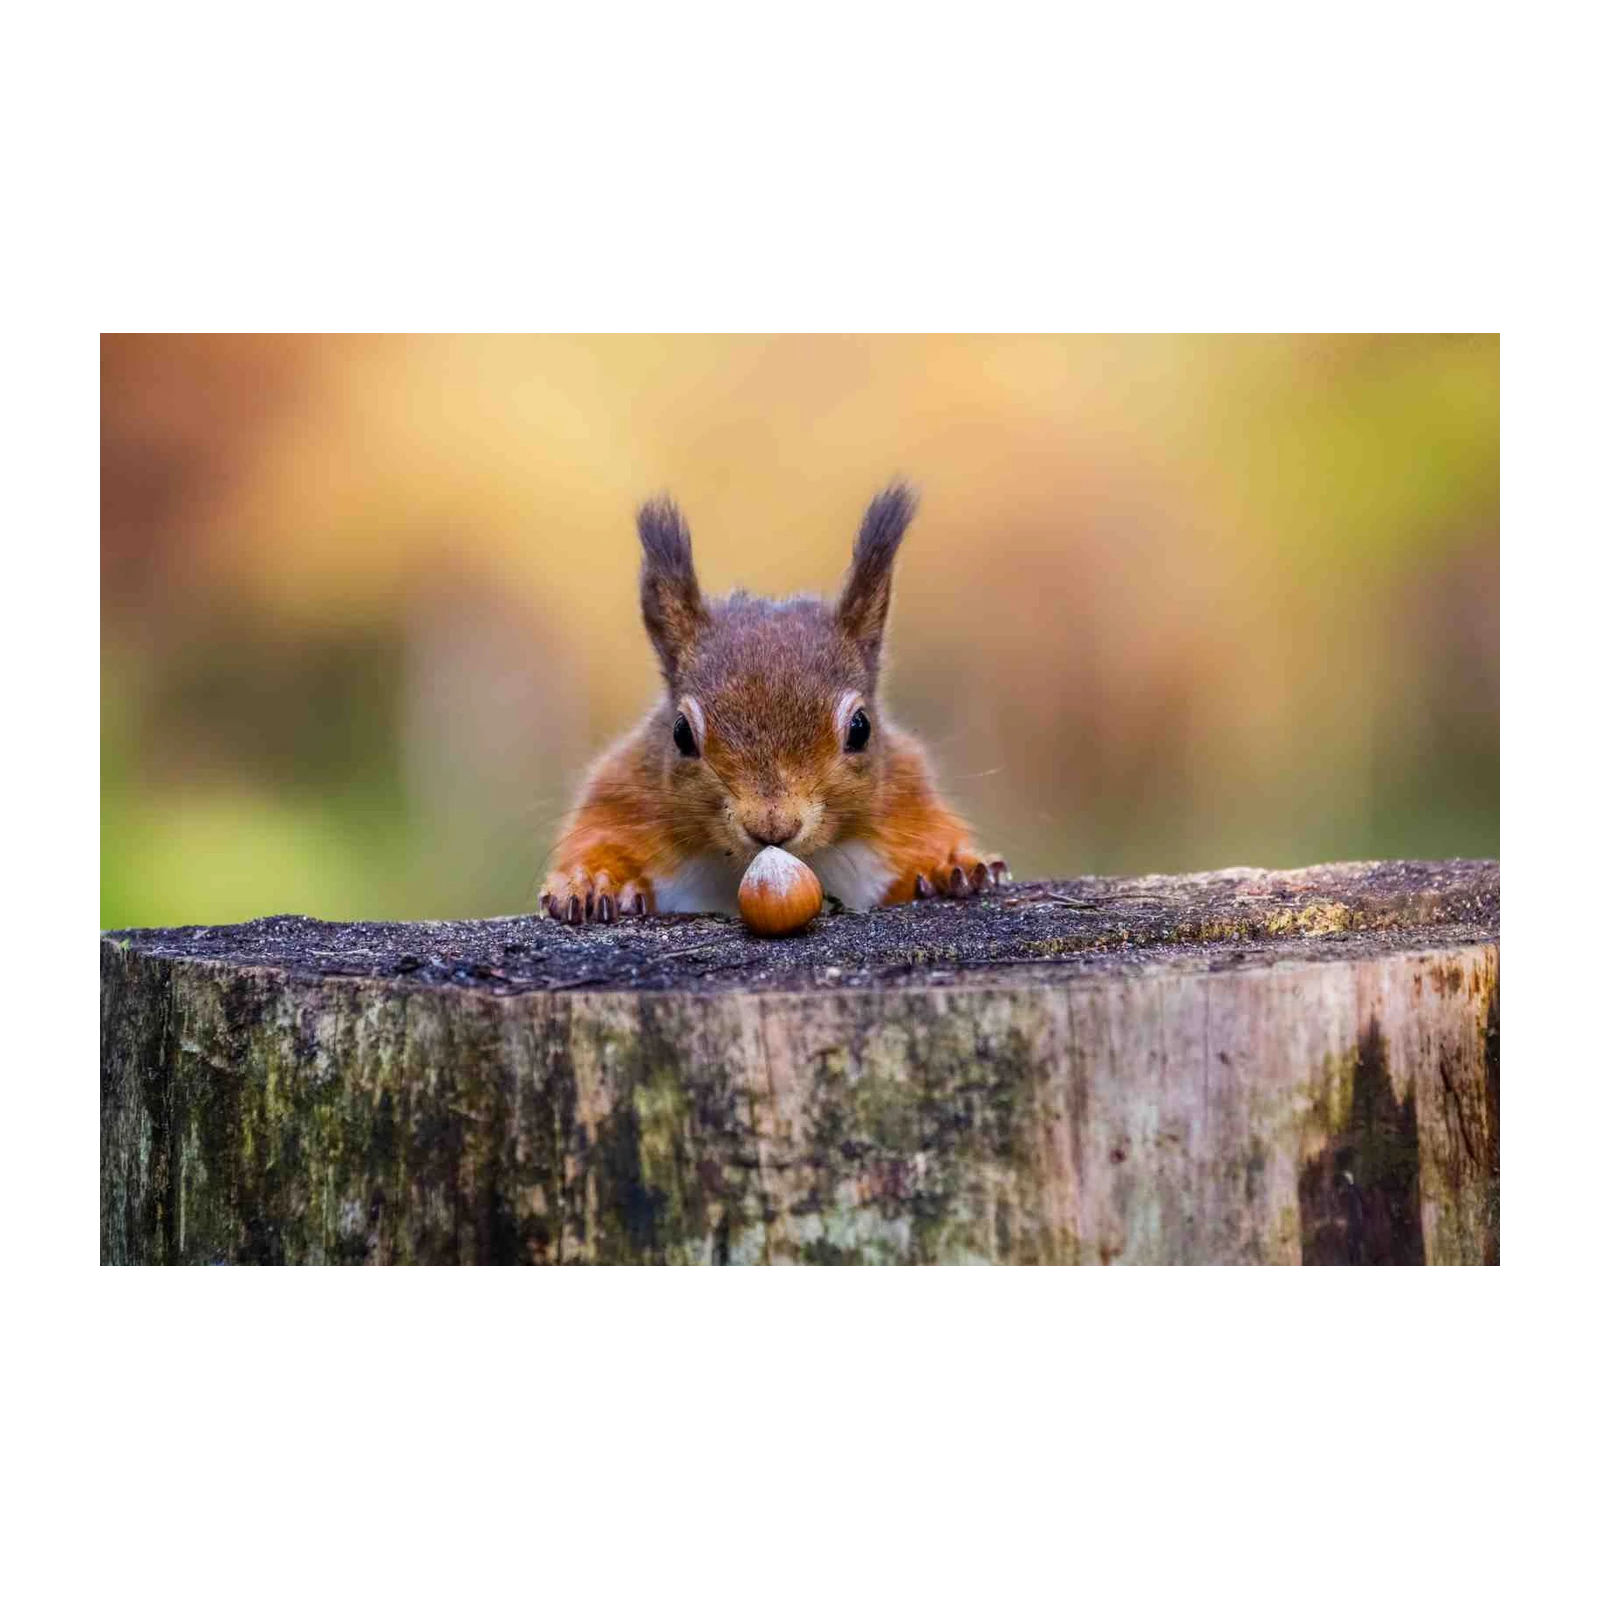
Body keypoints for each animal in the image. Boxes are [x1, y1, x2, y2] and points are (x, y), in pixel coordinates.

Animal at [540, 482, 1007, 923]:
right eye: (680, 734)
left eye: (861, 728)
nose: (772, 826)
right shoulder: (623, 797)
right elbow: (601, 839)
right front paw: (593, 881)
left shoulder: (904, 798)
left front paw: (952, 866)